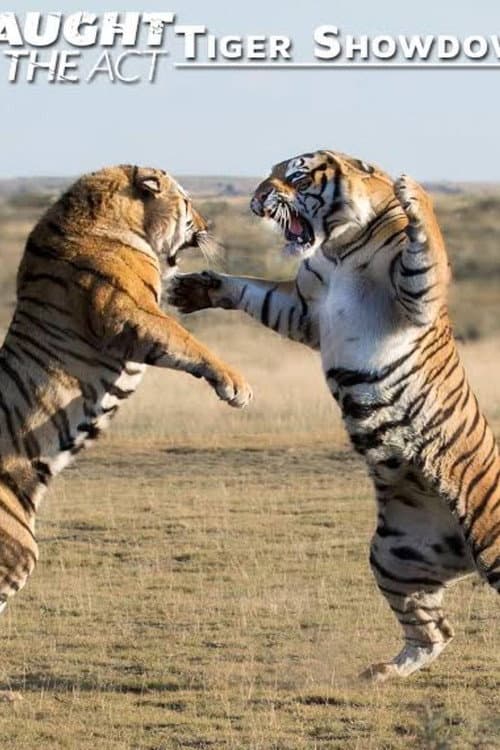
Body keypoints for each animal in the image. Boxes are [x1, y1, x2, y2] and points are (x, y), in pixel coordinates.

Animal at [0, 164, 252, 619]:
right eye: (188, 203)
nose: (208, 224)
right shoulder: (126, 313)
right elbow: (187, 341)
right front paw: (235, 384)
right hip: (18, 549)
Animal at [169, 149, 500, 681]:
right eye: (270, 174)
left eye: (297, 175)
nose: (256, 197)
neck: (341, 246)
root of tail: (464, 552)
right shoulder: (302, 308)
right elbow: (254, 290)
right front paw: (196, 289)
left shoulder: (414, 293)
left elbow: (427, 244)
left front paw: (412, 190)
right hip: (394, 555)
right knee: (435, 632)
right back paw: (385, 671)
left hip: (489, 541)